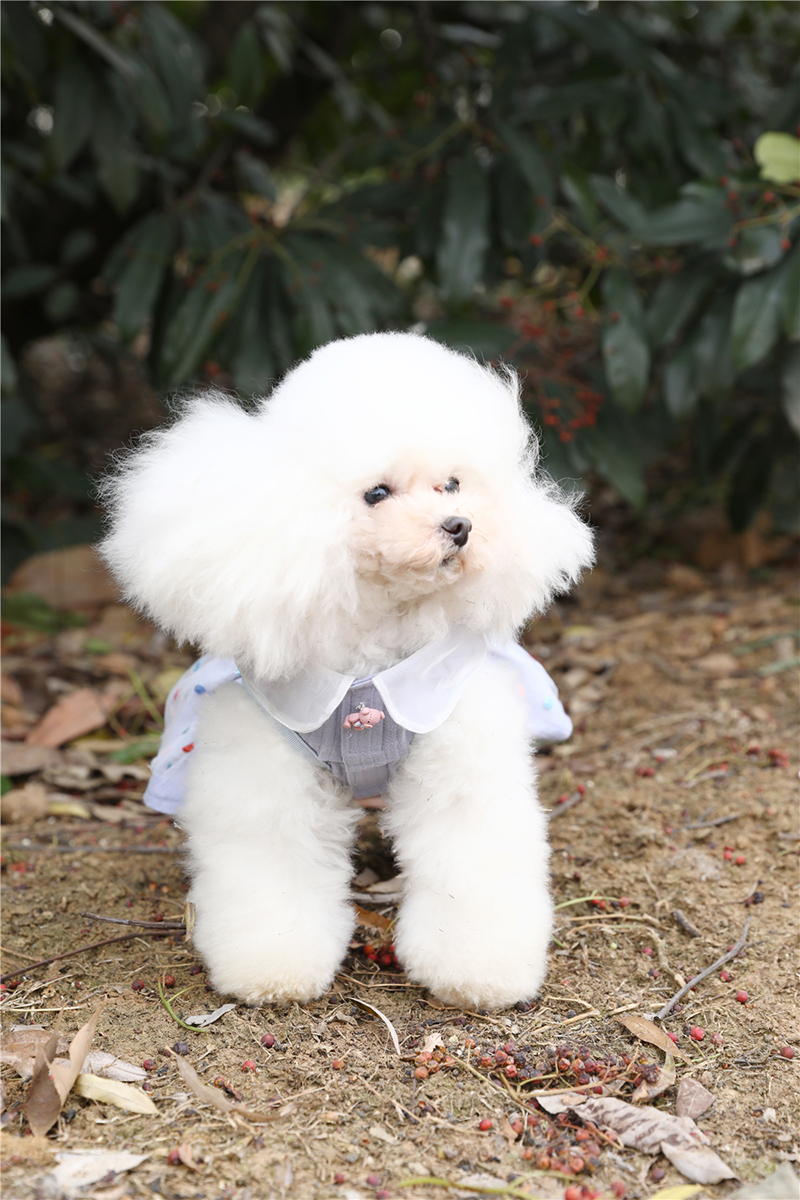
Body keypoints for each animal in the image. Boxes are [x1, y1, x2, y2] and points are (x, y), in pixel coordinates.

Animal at [100, 332, 594, 1010]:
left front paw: (477, 969)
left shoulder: (463, 770)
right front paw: (272, 967)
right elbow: (274, 865)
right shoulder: (265, 785)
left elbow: (469, 859)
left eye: (452, 484)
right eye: (377, 493)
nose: (461, 526)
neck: (371, 667)